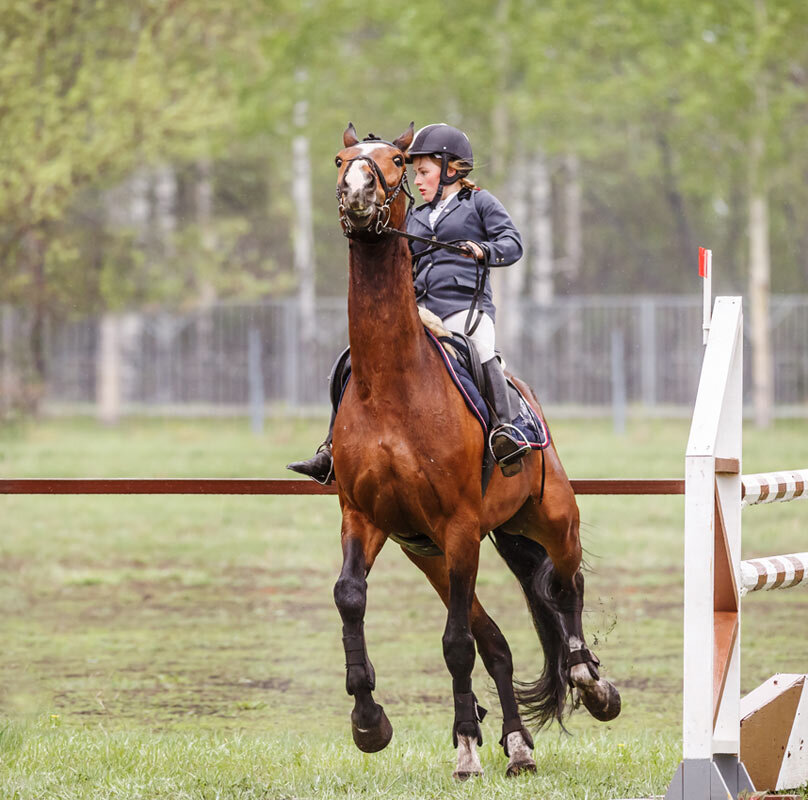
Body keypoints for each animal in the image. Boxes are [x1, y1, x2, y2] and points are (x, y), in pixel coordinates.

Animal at [328, 122, 620, 780]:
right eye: (340, 159)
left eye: (395, 161)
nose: (357, 195)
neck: (393, 384)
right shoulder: (364, 518)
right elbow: (350, 598)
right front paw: (370, 721)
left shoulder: (460, 526)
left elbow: (455, 644)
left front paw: (464, 750)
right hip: (433, 556)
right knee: (500, 644)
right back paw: (517, 746)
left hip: (549, 518)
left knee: (565, 585)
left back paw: (589, 680)